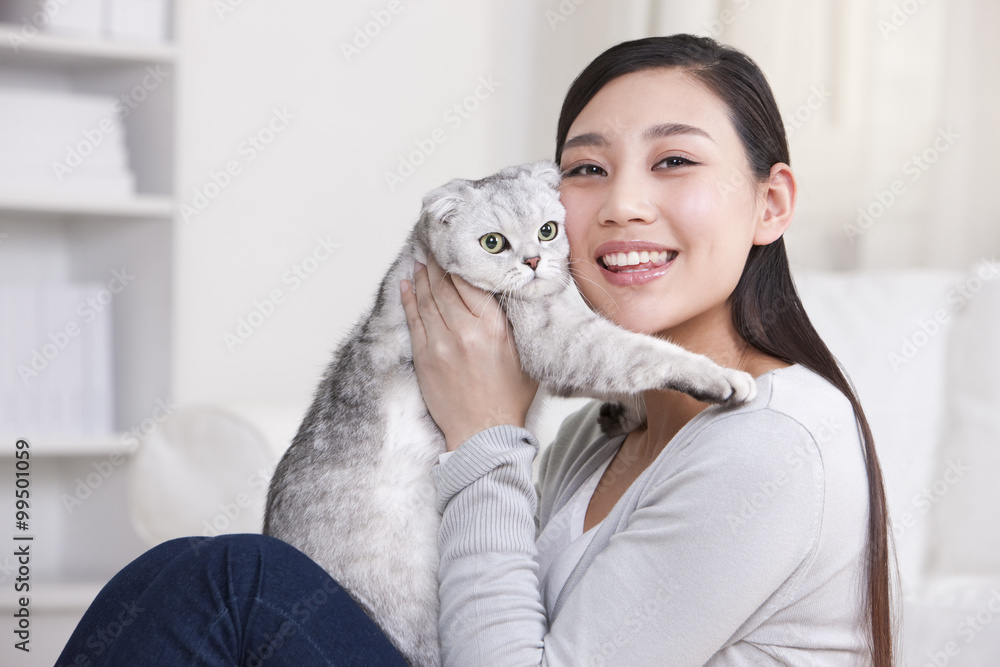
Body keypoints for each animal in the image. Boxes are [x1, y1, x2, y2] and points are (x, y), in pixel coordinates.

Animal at [262, 159, 752, 664]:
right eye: (493, 242)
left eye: (548, 230)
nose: (534, 262)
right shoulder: (557, 342)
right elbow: (640, 352)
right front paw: (719, 378)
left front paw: (626, 413)